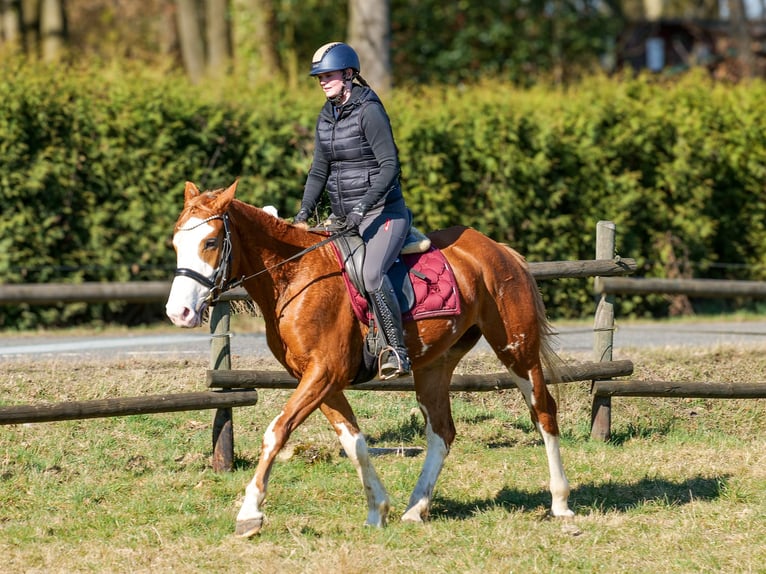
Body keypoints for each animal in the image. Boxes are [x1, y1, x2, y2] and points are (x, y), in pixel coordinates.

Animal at [168, 181, 576, 540]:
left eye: (210, 242)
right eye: (176, 243)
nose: (179, 313)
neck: (295, 276)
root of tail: (500, 250)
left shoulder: (323, 374)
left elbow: (277, 432)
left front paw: (249, 514)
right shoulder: (320, 380)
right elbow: (355, 442)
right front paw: (377, 509)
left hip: (516, 349)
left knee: (543, 411)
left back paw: (561, 503)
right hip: (434, 365)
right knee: (442, 431)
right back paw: (416, 508)